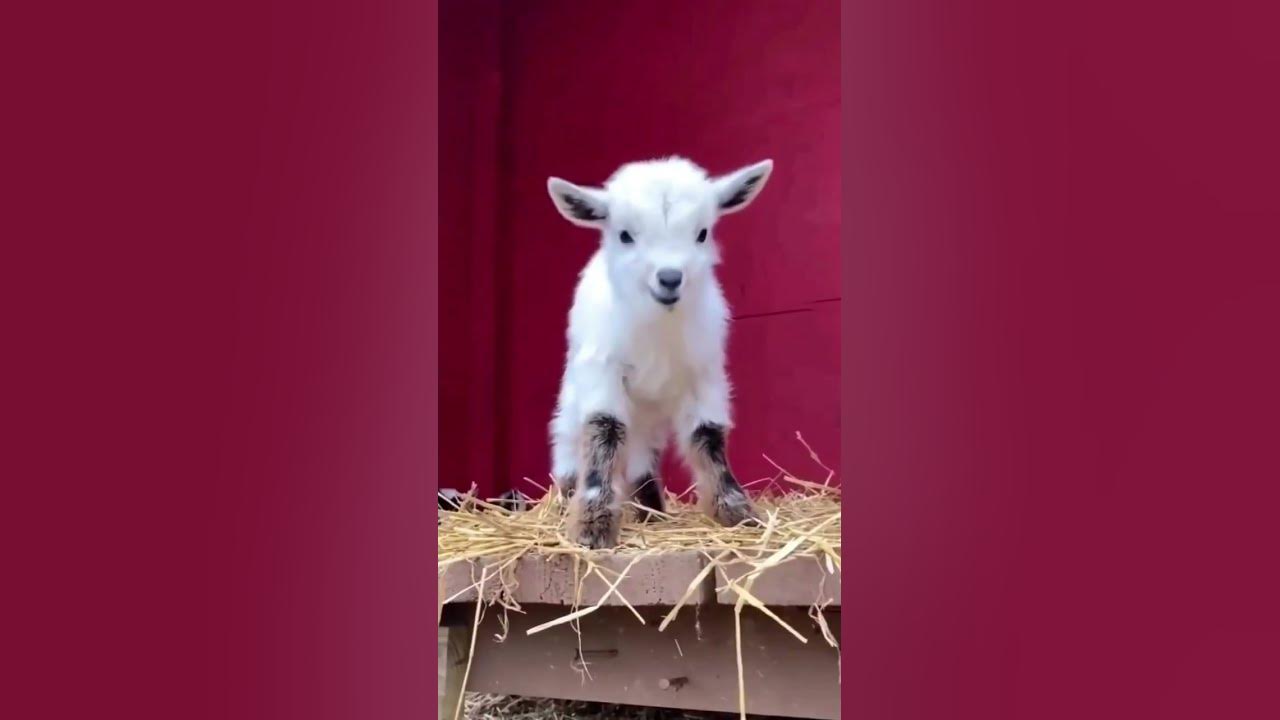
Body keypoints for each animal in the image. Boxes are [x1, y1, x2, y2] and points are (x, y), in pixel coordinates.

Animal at [545, 156, 773, 548]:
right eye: (625, 235)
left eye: (702, 233)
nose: (669, 278)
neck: (658, 328)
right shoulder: (603, 371)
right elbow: (603, 431)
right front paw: (591, 526)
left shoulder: (704, 375)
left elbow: (708, 436)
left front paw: (737, 513)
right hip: (575, 387)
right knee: (569, 436)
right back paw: (565, 498)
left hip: (647, 411)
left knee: (642, 451)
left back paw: (651, 510)